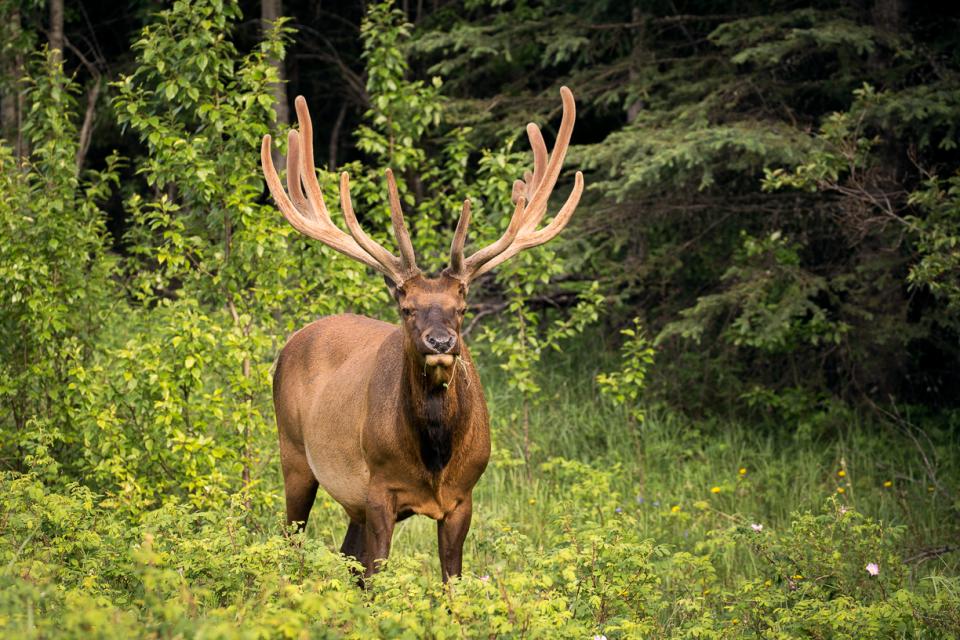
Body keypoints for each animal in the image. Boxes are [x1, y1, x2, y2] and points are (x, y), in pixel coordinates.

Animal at [258, 85, 580, 580]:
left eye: (462, 308)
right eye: (406, 308)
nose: (441, 342)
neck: (434, 460)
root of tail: (296, 339)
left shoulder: (463, 498)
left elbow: (451, 582)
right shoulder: (378, 489)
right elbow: (379, 579)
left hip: (347, 500)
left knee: (346, 558)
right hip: (293, 454)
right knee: (292, 540)